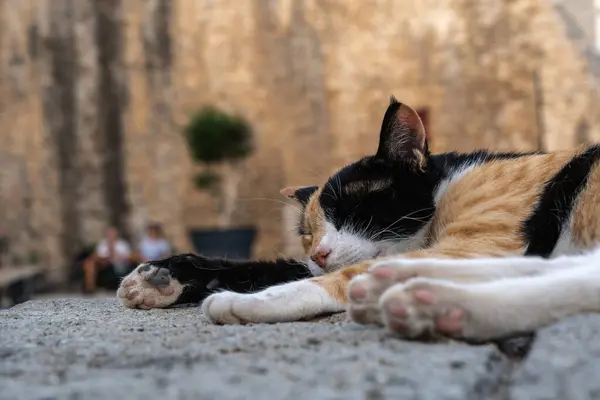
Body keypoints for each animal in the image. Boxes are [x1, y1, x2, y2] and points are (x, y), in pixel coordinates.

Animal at [116, 97, 600, 344]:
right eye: (306, 234)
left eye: (350, 208)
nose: (318, 251)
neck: (446, 187)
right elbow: (264, 267)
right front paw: (161, 277)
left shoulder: (485, 239)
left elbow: (326, 279)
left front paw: (247, 302)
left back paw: (426, 300)